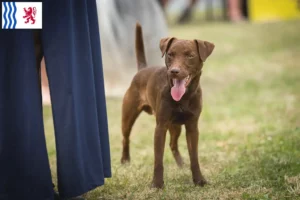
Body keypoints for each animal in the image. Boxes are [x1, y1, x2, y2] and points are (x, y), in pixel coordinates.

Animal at [120, 22, 214, 188]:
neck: (184, 97)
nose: (174, 71)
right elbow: (158, 159)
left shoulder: (192, 127)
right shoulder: (161, 127)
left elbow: (194, 157)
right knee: (126, 137)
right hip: (128, 116)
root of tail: (142, 69)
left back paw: (181, 164)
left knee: (173, 144)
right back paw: (125, 160)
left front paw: (199, 180)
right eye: (170, 54)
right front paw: (157, 184)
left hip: (175, 126)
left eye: (190, 56)